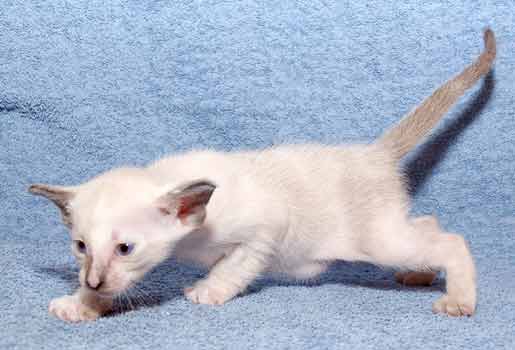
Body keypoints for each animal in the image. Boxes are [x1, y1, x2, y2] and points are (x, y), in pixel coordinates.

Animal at [29, 30, 496, 322]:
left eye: (125, 248)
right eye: (80, 246)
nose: (92, 278)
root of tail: (373, 152)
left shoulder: (265, 230)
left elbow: (232, 268)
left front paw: (207, 292)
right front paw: (82, 304)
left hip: (378, 241)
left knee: (450, 241)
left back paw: (457, 300)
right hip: (390, 231)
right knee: (429, 225)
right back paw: (421, 276)